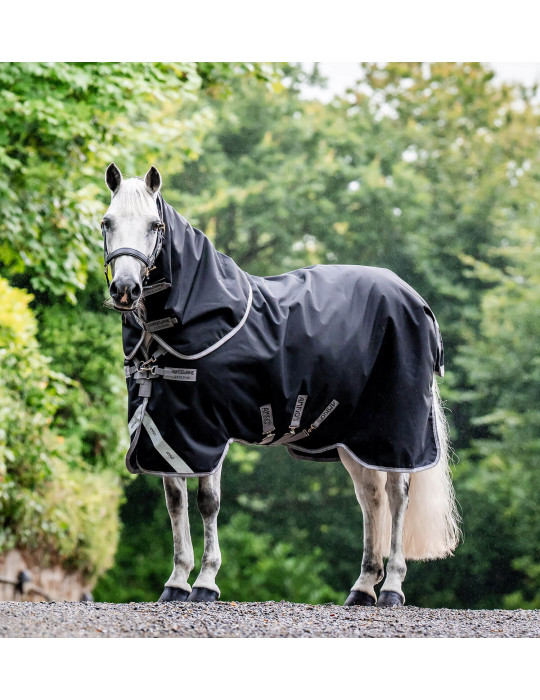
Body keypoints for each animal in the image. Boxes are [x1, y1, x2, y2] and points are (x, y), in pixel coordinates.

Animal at [101, 162, 460, 607]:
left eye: (155, 225)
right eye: (107, 222)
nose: (125, 289)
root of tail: (417, 301)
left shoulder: (207, 430)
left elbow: (207, 502)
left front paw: (205, 582)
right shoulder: (170, 431)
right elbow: (175, 501)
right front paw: (176, 581)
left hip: (395, 431)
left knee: (397, 495)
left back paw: (391, 587)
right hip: (356, 438)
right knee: (371, 498)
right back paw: (362, 587)